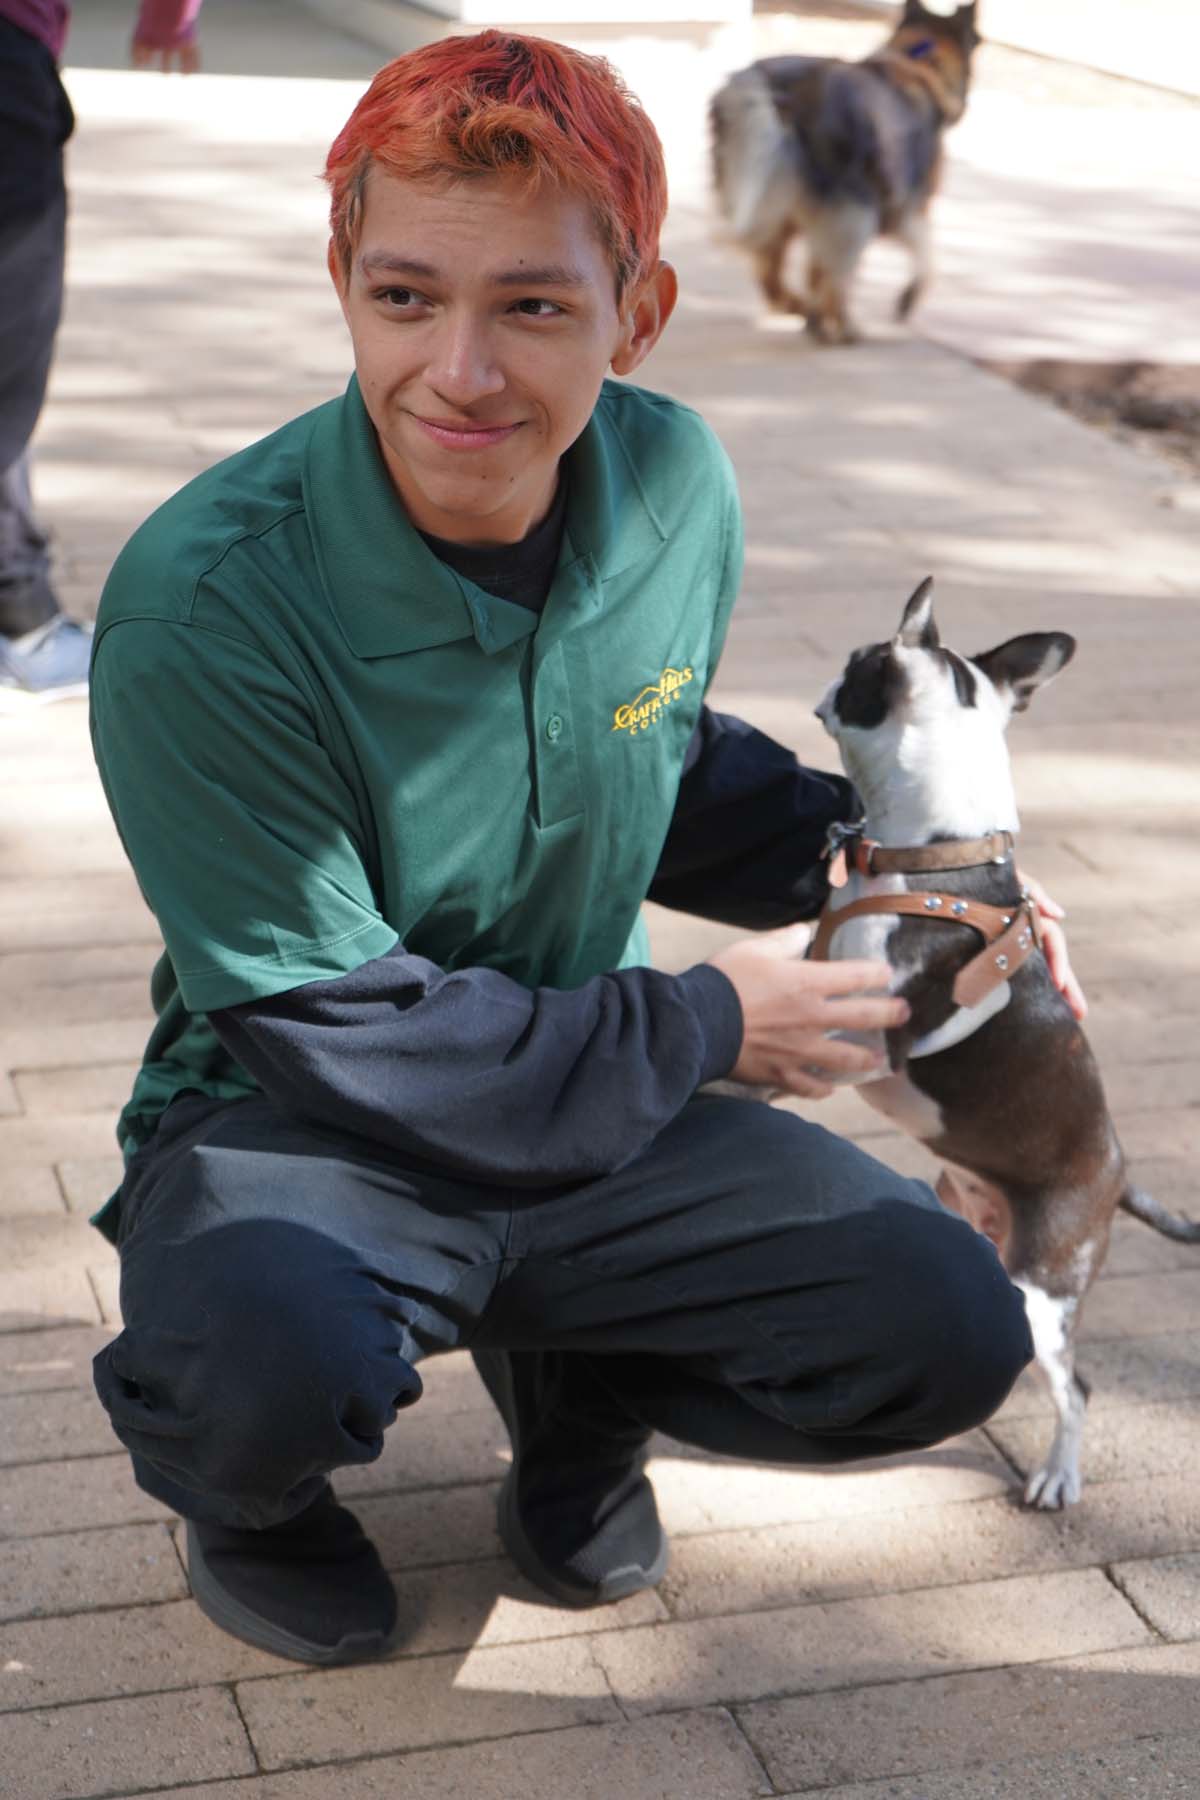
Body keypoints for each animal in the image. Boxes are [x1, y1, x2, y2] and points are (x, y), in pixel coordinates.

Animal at [712, 0, 978, 342]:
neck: (917, 60)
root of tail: (785, 93)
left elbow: (815, 270)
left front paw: (815, 316)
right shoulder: (906, 208)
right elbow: (925, 257)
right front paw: (906, 297)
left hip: (772, 206)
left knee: (768, 270)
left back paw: (797, 306)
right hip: (853, 207)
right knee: (836, 275)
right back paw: (843, 324)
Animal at [813, 583, 1194, 1512]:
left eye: (859, 665)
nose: (833, 675)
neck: (932, 858)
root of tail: (1120, 1174)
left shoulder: (858, 1033)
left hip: (1043, 1294)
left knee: (1075, 1387)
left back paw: (1058, 1475)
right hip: (979, 1225)